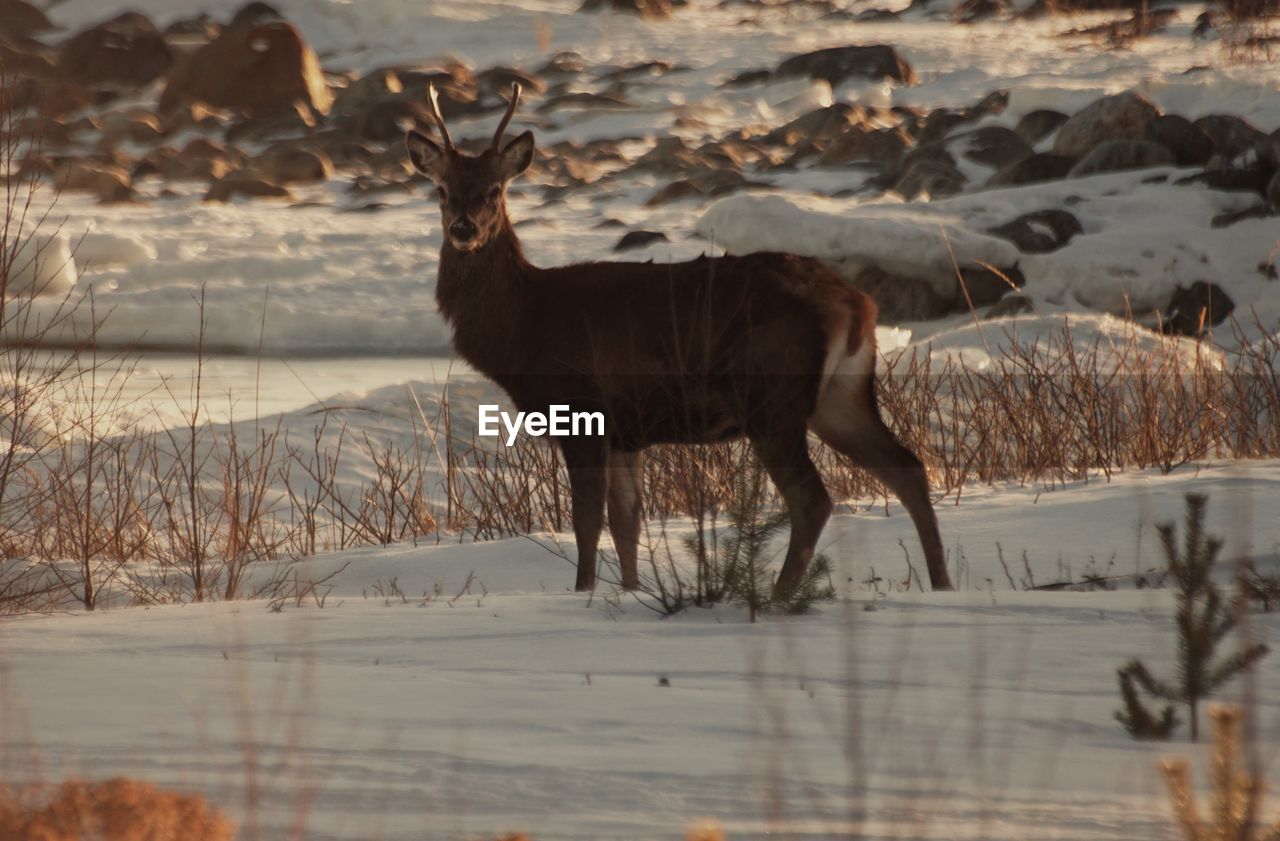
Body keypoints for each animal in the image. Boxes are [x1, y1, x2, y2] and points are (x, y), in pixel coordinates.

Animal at [404, 83, 957, 596]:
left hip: (770, 396)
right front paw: (628, 592)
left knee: (813, 497)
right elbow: (626, 523)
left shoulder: (581, 408)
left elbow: (587, 523)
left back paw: (778, 597)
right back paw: (941, 584)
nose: (463, 228)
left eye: (495, 190)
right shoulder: (625, 430)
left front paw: (582, 594)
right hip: (840, 394)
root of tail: (855, 303)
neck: (521, 323)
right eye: (442, 190)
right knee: (908, 468)